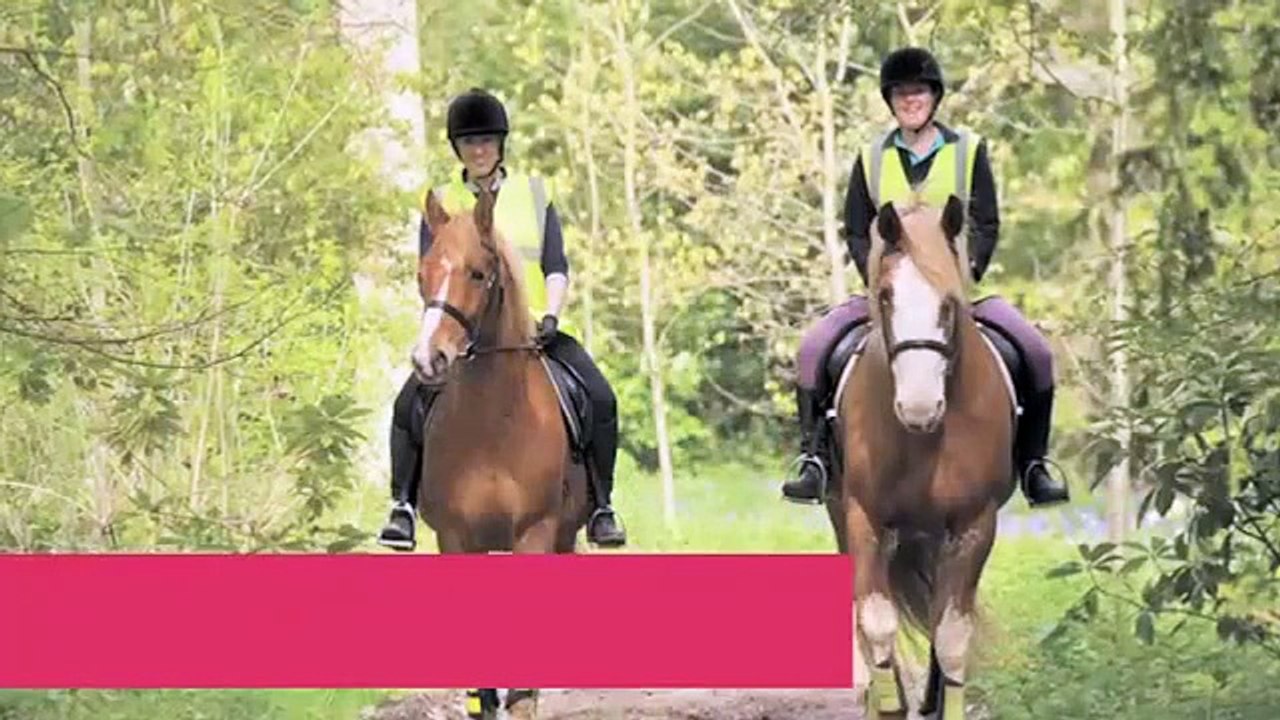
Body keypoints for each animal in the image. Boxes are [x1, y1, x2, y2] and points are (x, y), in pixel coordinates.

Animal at [411, 186, 594, 720]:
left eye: (477, 273)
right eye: (423, 274)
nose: (428, 360)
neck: (493, 424)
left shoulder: (533, 533)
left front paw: (522, 700)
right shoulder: (456, 538)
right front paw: (483, 701)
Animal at [824, 194, 1017, 719]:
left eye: (948, 303)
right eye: (886, 296)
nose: (919, 407)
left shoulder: (974, 525)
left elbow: (950, 635)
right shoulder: (863, 518)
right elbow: (877, 621)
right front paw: (889, 705)